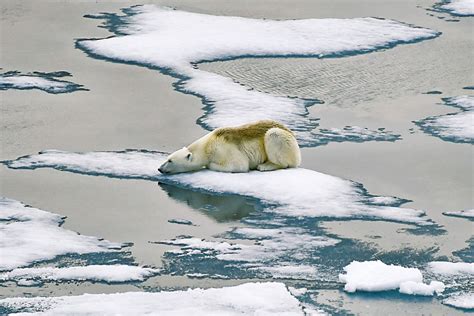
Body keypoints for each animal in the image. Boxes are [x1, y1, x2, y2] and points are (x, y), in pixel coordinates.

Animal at [158, 119, 300, 174]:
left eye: (170, 161)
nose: (159, 168)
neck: (208, 145)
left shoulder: (224, 148)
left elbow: (238, 165)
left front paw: (210, 165)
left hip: (285, 141)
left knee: (274, 135)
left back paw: (266, 166)